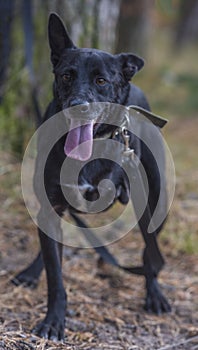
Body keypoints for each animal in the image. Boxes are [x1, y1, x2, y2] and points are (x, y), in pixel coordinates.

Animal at [13, 13, 171, 340]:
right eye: (66, 76)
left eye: (101, 81)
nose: (78, 107)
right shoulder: (50, 206)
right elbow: (55, 276)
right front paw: (53, 321)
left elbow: (149, 254)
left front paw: (154, 293)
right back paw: (33, 271)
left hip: (157, 198)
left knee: (150, 252)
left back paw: (152, 291)